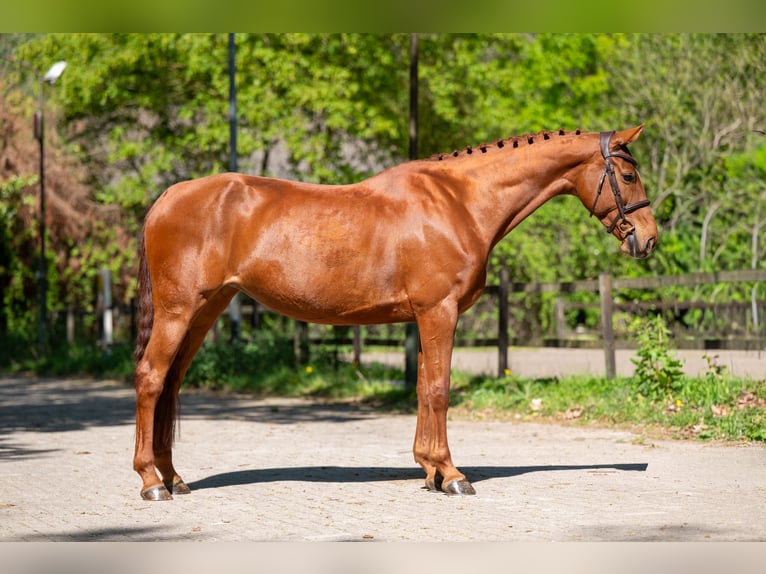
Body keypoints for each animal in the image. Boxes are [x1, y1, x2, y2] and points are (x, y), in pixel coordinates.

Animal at [132, 125, 658, 501]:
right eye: (629, 176)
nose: (649, 239)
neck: (460, 202)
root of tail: (166, 198)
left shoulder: (424, 317)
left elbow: (424, 389)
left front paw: (430, 470)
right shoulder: (439, 312)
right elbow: (440, 390)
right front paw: (452, 475)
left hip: (205, 311)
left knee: (171, 384)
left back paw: (173, 476)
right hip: (179, 311)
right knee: (151, 378)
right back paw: (151, 482)